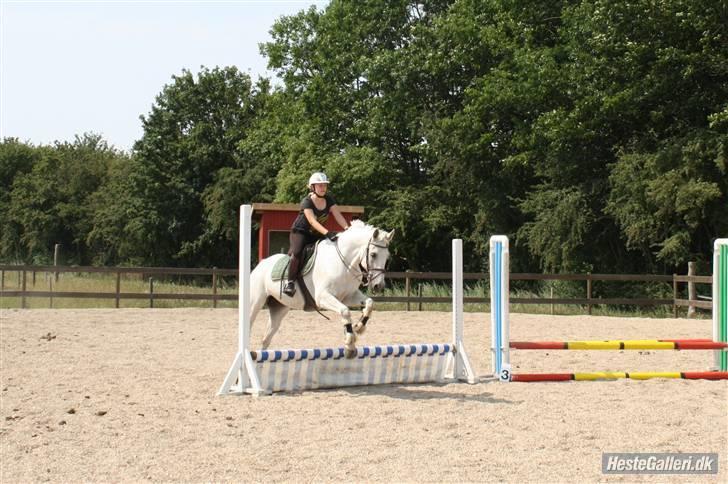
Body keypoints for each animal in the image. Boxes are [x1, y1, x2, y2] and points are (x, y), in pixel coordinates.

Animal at [252, 219, 398, 356]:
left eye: (387, 257)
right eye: (373, 254)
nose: (378, 286)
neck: (344, 262)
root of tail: (261, 264)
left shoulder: (348, 296)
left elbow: (369, 303)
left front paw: (358, 327)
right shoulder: (323, 297)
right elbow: (345, 311)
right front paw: (350, 341)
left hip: (280, 308)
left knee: (266, 339)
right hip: (255, 303)